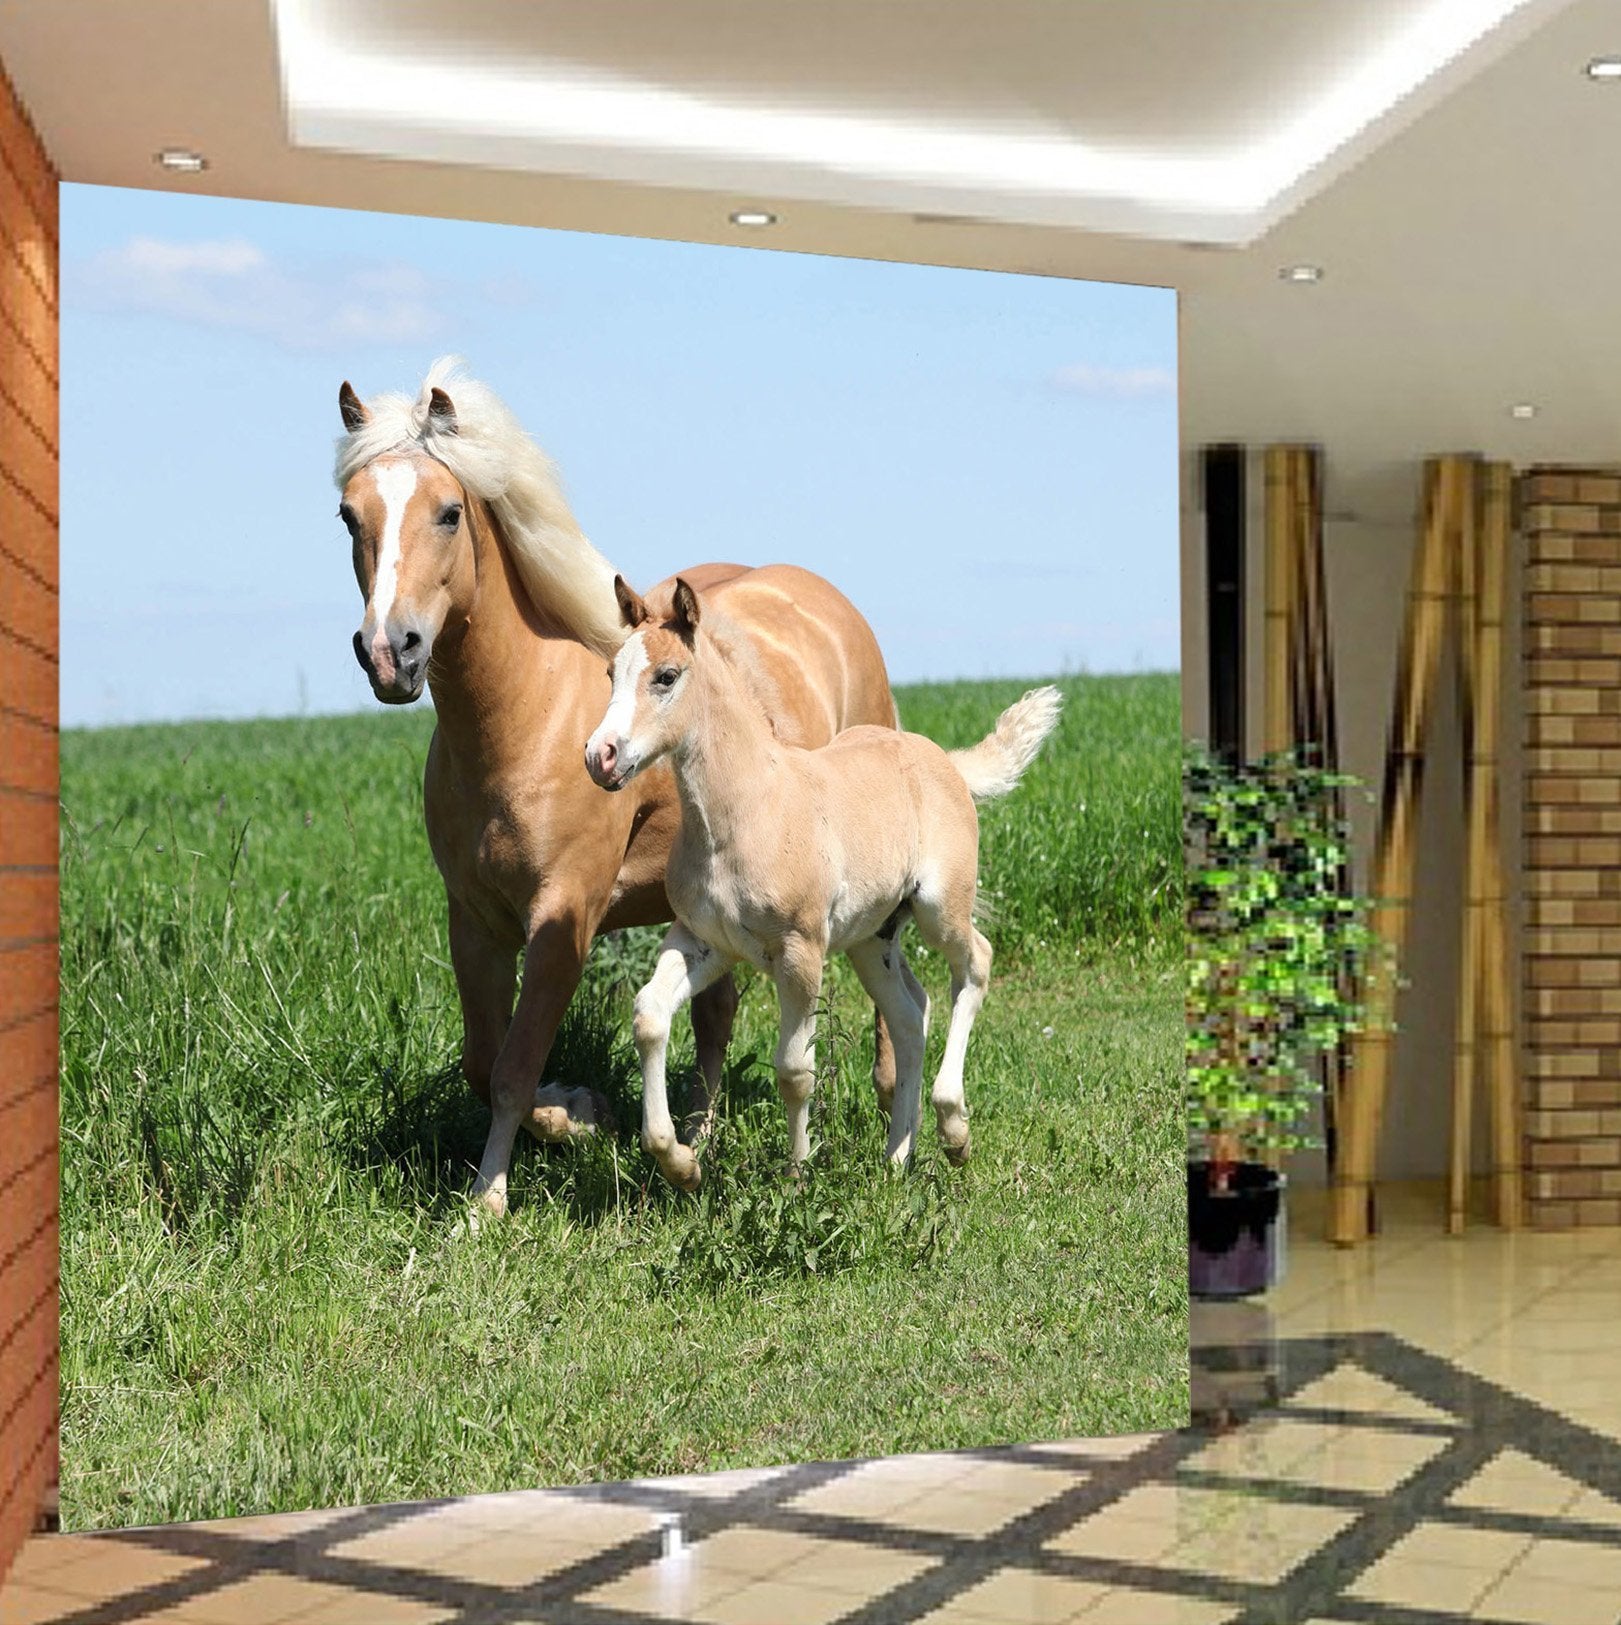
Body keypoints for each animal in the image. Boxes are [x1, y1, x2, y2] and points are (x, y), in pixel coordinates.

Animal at [335, 358, 918, 1218]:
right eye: (349, 515)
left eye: (448, 511)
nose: (389, 652)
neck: (523, 717)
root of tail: (826, 601)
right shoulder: (474, 921)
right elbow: (482, 1061)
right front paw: (583, 1113)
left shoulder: (563, 918)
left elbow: (512, 1067)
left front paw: (490, 1197)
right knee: (715, 1015)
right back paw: (699, 1137)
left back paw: (885, 1108)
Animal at [584, 573, 1061, 1191]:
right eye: (610, 673)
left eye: (666, 676)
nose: (599, 756)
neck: (746, 811)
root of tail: (944, 759)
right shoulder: (704, 940)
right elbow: (648, 1016)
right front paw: (680, 1162)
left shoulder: (800, 950)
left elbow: (795, 1070)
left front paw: (797, 1177)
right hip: (872, 938)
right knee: (911, 1013)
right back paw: (896, 1159)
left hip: (939, 908)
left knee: (975, 963)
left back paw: (953, 1130)